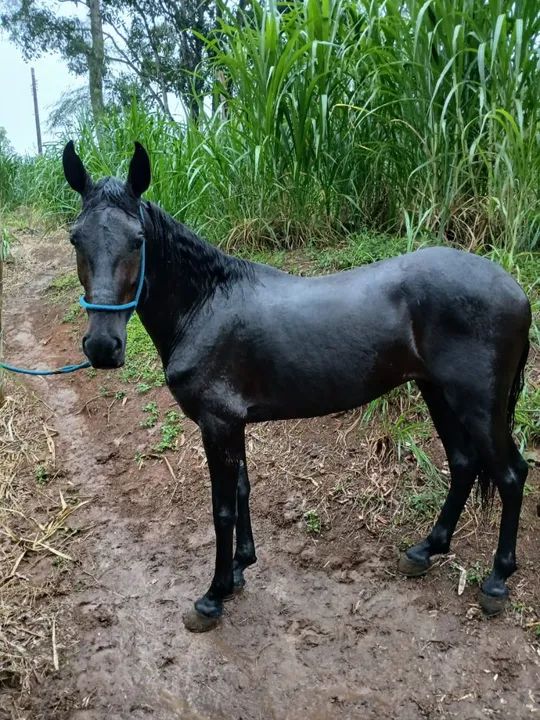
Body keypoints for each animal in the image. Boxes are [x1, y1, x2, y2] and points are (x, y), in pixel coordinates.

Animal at [62, 140, 531, 632]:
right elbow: (242, 491)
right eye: (76, 238)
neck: (206, 305)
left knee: (511, 474)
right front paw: (240, 568)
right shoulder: (231, 424)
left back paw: (496, 582)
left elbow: (222, 508)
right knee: (463, 464)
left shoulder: (217, 424)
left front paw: (213, 596)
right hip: (437, 393)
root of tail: (515, 290)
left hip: (477, 404)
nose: (102, 347)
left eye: (138, 240)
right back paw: (425, 550)